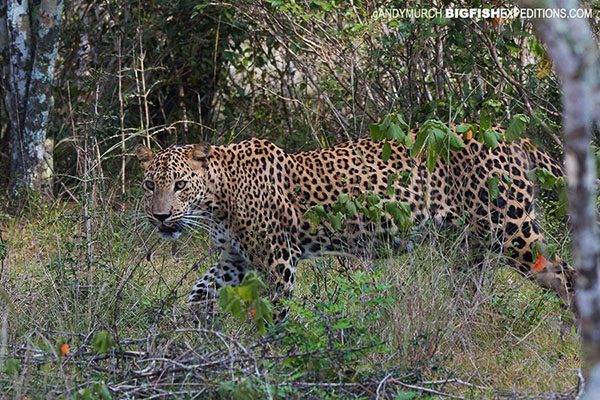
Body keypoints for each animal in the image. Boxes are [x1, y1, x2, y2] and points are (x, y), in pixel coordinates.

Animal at [136, 126, 576, 324]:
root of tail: (510, 136)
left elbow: (273, 313)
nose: (160, 216)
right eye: (149, 185)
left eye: (180, 185)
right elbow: (198, 293)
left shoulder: (277, 261)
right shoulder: (234, 259)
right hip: (469, 246)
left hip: (513, 231)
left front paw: (265, 353)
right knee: (470, 291)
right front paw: (190, 333)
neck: (217, 198)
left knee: (564, 274)